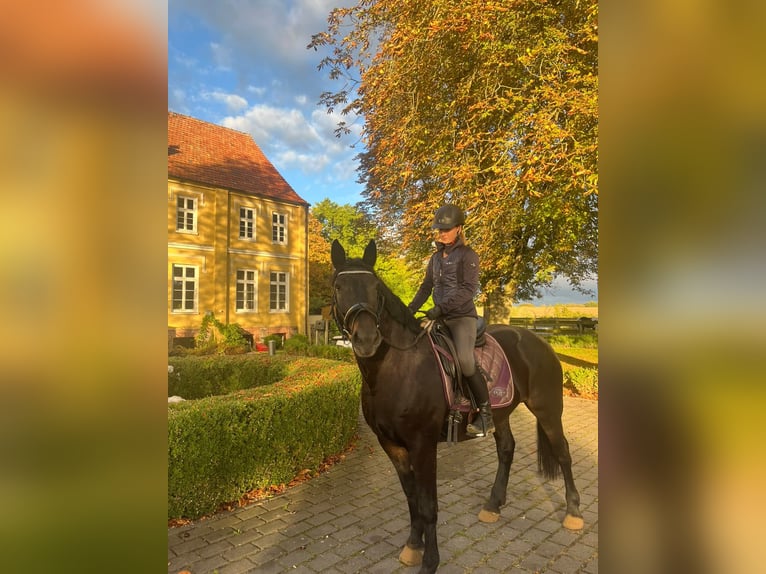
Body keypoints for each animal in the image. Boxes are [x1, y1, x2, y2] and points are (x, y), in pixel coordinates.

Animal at [330, 239, 584, 574]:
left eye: (375, 287)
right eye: (338, 287)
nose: (367, 339)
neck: (398, 368)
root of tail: (536, 339)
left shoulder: (423, 445)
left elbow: (428, 504)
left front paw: (430, 561)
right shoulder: (391, 445)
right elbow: (411, 498)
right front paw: (413, 546)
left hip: (548, 409)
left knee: (563, 452)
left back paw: (573, 513)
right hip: (502, 414)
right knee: (507, 449)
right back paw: (493, 505)